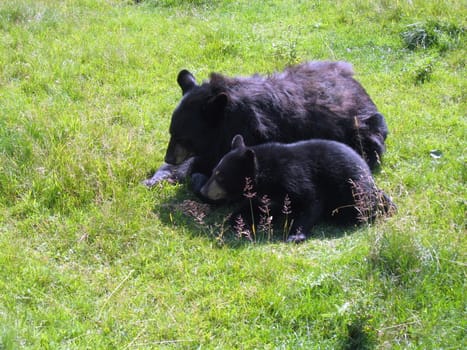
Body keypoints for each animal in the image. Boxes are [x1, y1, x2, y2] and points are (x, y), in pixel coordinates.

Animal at [144, 60, 390, 191]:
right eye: (171, 133)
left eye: (184, 137)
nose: (169, 157)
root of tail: (359, 86)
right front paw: (157, 176)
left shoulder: (250, 135)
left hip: (365, 131)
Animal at [200, 135, 394, 242]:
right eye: (213, 171)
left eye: (220, 175)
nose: (203, 191)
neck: (264, 176)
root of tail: (367, 170)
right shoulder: (262, 196)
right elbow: (251, 208)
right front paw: (241, 223)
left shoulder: (294, 176)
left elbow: (311, 201)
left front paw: (295, 235)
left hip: (352, 188)